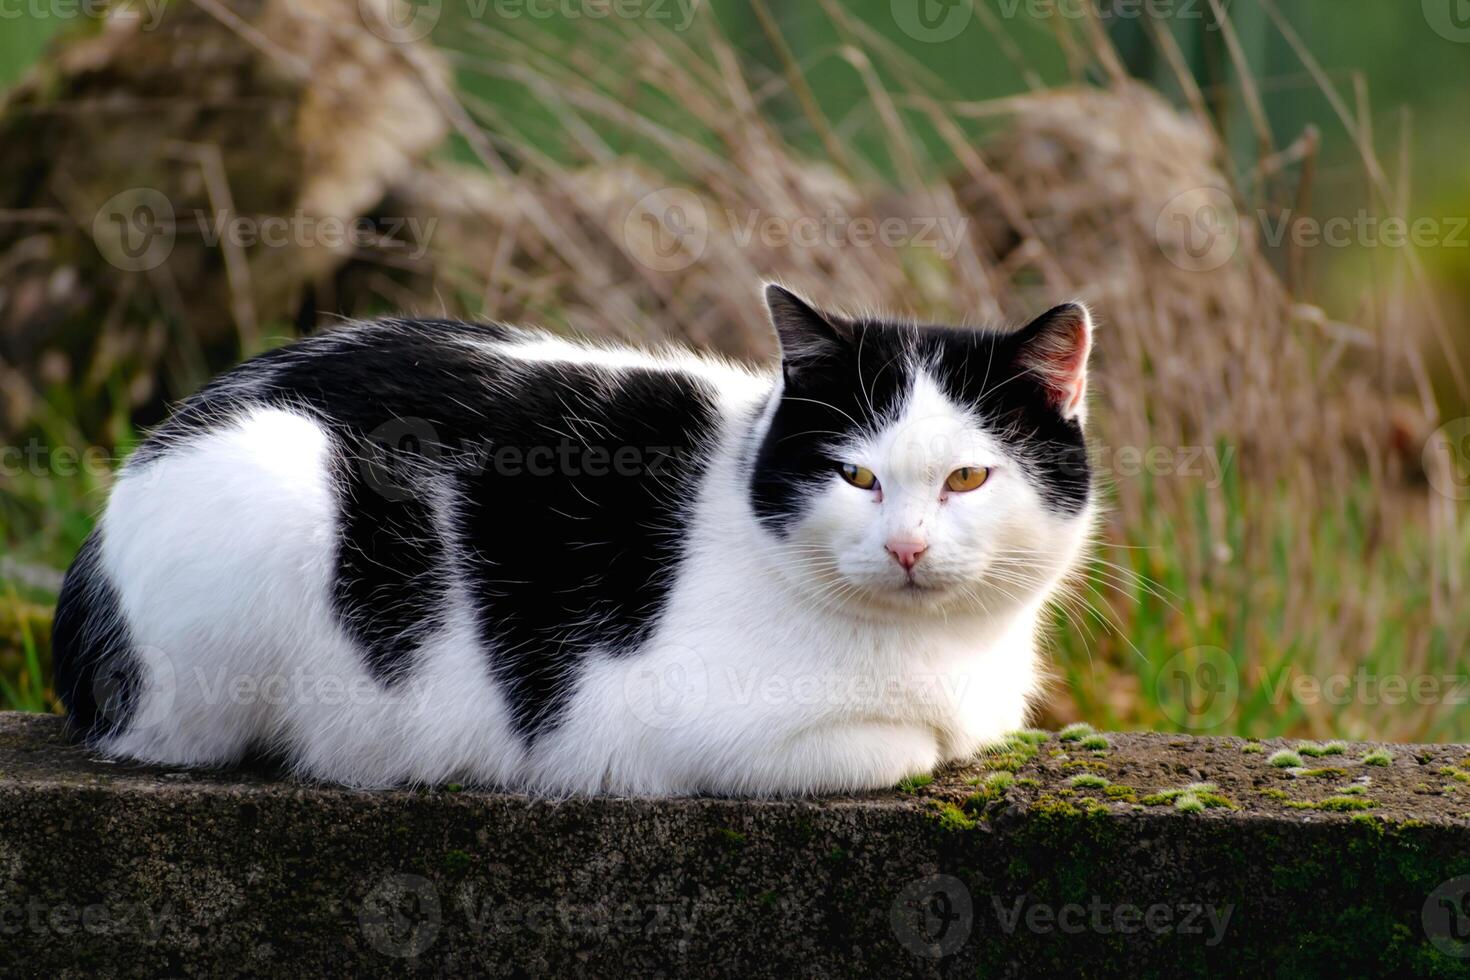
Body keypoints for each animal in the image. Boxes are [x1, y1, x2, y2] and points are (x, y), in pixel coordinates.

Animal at [51, 283, 1099, 799]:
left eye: (967, 479)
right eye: (856, 477)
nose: (908, 549)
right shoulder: (655, 721)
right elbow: (908, 747)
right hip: (270, 484)